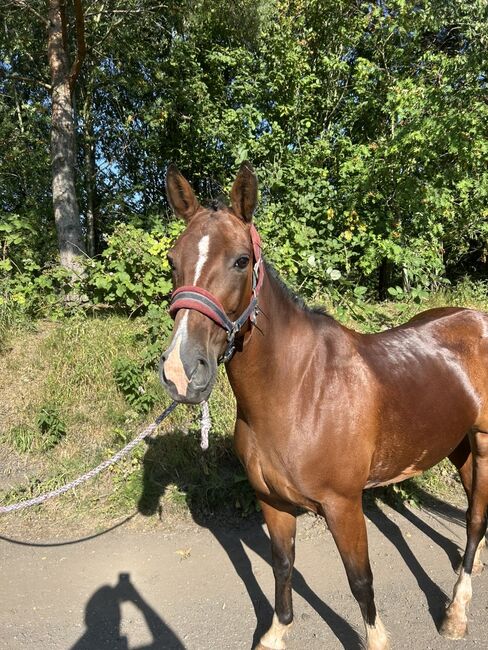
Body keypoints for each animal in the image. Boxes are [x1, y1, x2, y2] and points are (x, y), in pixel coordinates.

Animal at [160, 162, 488, 649]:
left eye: (241, 260)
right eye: (172, 261)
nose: (182, 371)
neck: (300, 391)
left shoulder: (344, 505)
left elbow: (360, 580)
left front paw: (376, 639)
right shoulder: (272, 502)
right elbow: (282, 568)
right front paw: (275, 633)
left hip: (483, 442)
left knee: (476, 518)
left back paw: (456, 611)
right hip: (458, 444)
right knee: (472, 514)